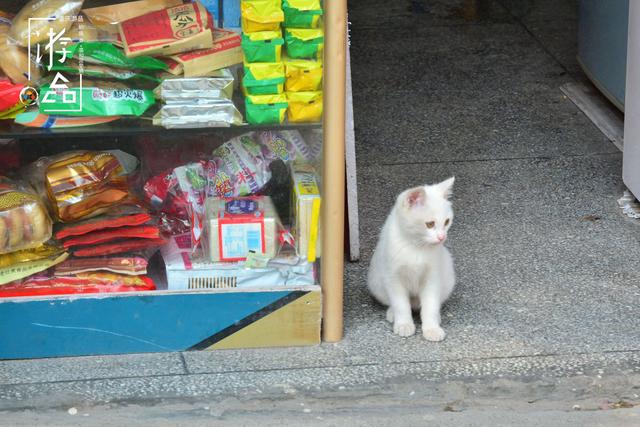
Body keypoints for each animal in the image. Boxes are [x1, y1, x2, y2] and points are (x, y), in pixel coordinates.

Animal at [364, 176, 456, 342]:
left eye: (447, 222)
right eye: (430, 224)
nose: (442, 237)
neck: (415, 246)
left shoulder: (433, 277)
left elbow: (431, 304)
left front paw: (432, 328)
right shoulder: (393, 277)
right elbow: (400, 304)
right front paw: (404, 324)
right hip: (375, 282)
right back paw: (392, 313)